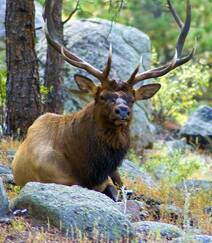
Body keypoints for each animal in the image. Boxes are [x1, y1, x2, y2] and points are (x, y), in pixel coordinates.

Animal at [11, 0, 194, 200]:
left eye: (132, 99)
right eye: (102, 96)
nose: (122, 111)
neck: (85, 168)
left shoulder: (106, 179)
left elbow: (115, 191)